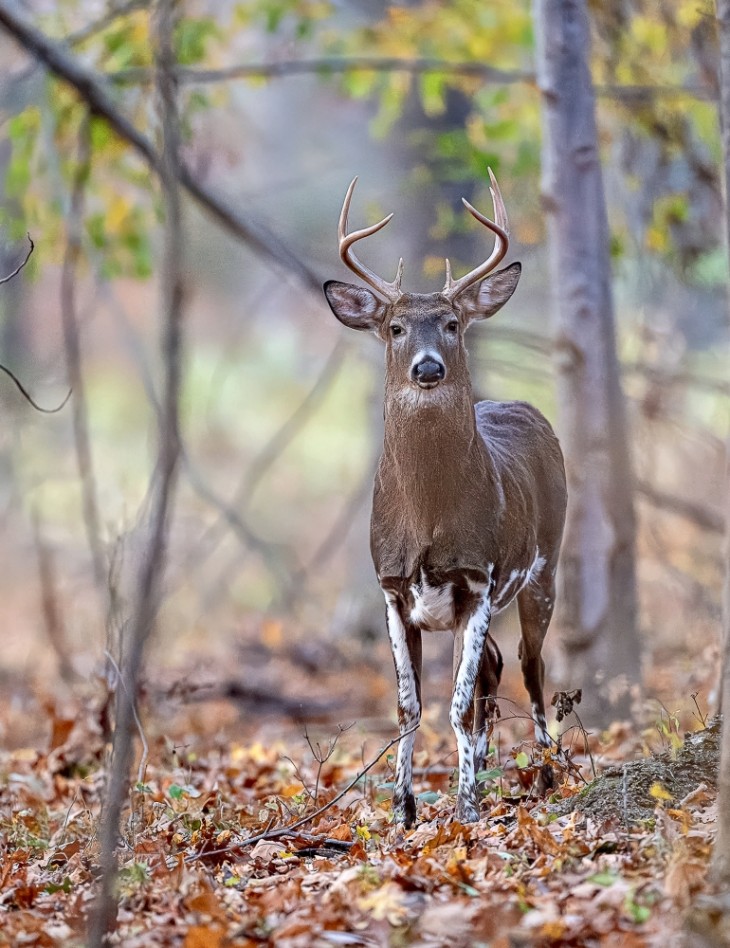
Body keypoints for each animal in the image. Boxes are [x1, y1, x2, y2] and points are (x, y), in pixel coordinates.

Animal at [323, 171, 567, 826]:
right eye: (395, 327)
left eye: (454, 324)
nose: (428, 368)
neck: (429, 519)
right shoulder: (390, 585)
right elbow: (410, 705)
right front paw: (403, 811)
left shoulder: (478, 578)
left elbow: (455, 703)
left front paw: (466, 809)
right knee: (495, 669)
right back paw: (488, 767)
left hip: (544, 566)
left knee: (530, 665)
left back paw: (547, 772)